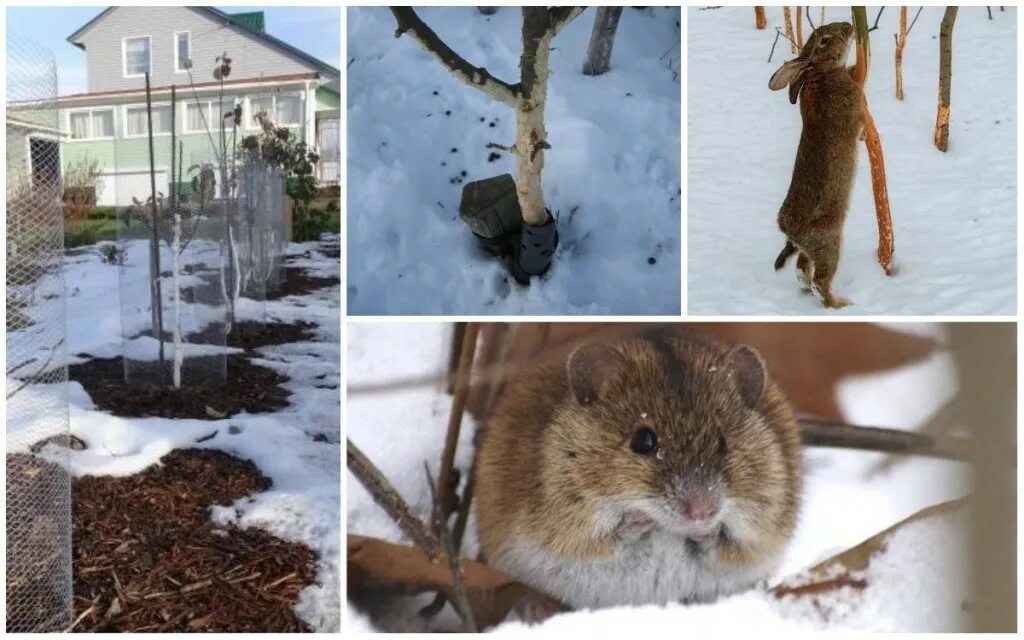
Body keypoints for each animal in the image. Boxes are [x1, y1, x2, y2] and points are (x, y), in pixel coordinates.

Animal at [770, 21, 860, 309]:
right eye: (824, 40)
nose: (849, 25)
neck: (820, 72)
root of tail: (791, 233)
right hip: (829, 241)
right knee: (821, 280)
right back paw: (841, 305)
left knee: (801, 268)